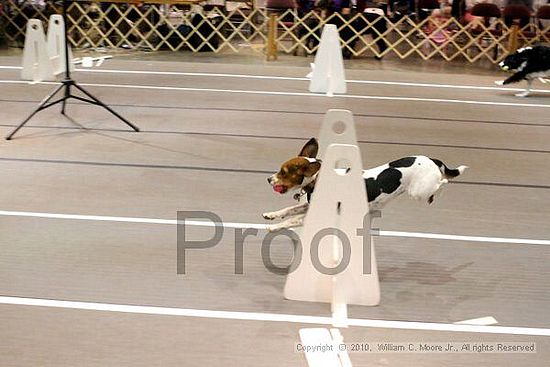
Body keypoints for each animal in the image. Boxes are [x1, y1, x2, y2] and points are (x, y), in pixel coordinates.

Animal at [264, 139, 470, 233]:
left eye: (283, 172)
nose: (269, 179)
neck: (317, 179)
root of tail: (431, 159)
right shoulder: (308, 206)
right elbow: (289, 210)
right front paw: (271, 215)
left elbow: (292, 219)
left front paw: (275, 227)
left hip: (419, 191)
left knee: (442, 183)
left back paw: (440, 188)